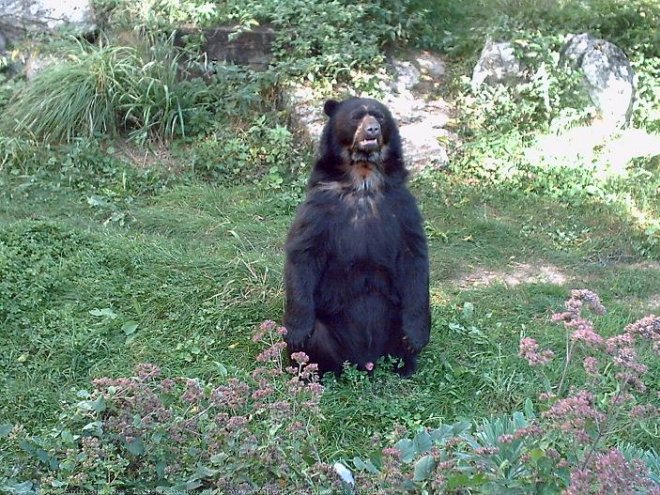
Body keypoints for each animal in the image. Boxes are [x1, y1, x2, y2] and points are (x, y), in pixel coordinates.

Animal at [284, 96, 434, 376]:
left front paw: (417, 337)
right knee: (316, 340)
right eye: (356, 116)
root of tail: (365, 361)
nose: (372, 130)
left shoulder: (402, 206)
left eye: (379, 116)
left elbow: (414, 258)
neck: (363, 178)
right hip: (328, 332)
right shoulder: (321, 207)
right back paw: (310, 374)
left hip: (394, 317)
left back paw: (406, 365)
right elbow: (303, 253)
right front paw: (296, 333)